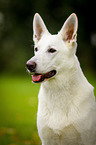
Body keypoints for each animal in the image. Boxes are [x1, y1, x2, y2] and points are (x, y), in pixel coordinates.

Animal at [26, 13, 96, 144]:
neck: (57, 92)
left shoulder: (87, 139)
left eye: (52, 50)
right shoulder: (46, 140)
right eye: (36, 49)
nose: (29, 65)